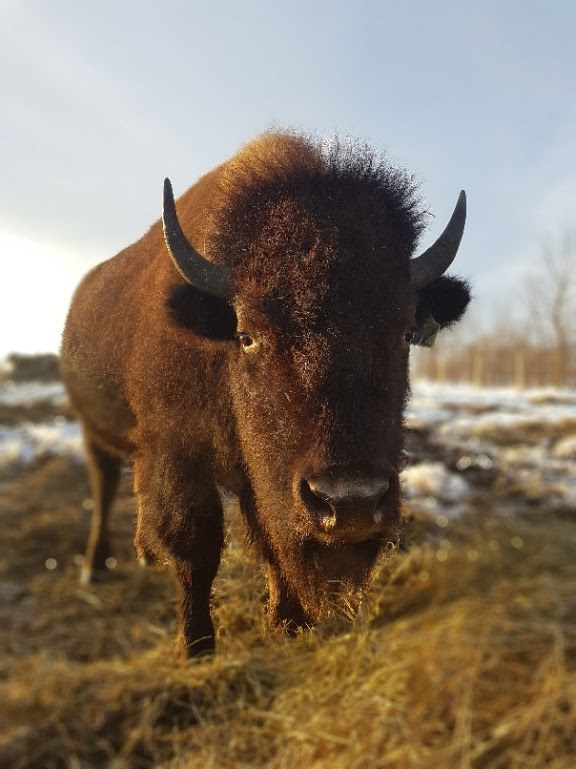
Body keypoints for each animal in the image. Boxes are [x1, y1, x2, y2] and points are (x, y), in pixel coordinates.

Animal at [60, 130, 470, 656]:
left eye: (403, 332)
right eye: (248, 334)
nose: (350, 504)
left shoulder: (261, 476)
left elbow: (270, 535)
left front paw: (290, 622)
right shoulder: (178, 457)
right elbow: (196, 548)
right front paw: (197, 648)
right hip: (95, 432)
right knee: (105, 486)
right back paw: (94, 568)